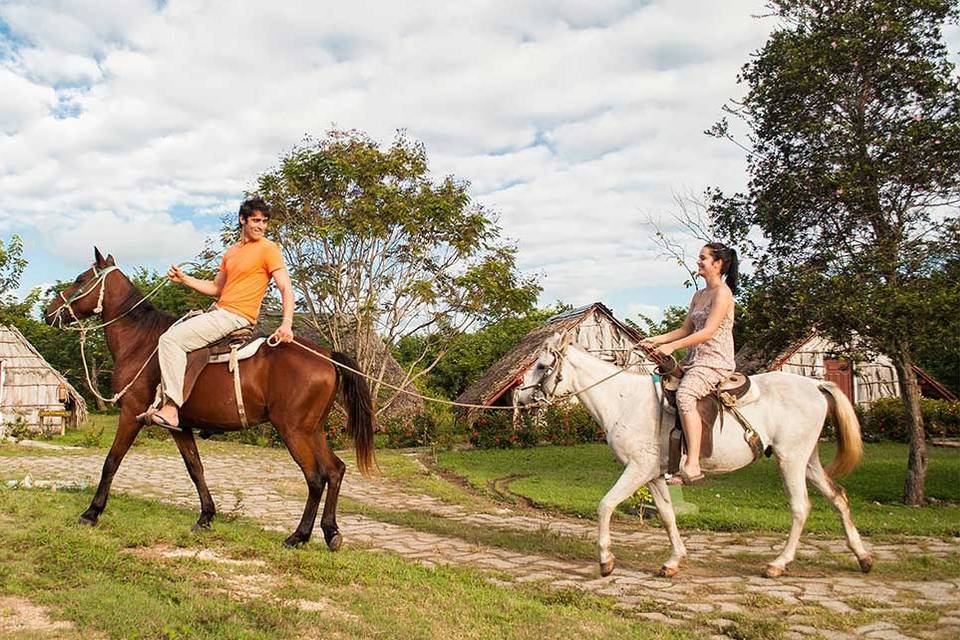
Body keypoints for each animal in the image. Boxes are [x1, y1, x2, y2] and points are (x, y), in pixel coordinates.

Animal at [46, 249, 376, 552]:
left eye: (80, 279)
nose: (49, 313)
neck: (141, 342)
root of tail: (327, 355)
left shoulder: (131, 412)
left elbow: (111, 461)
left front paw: (92, 512)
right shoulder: (180, 426)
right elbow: (195, 468)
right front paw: (206, 516)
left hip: (293, 430)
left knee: (316, 477)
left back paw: (299, 535)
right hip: (313, 430)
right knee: (335, 470)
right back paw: (330, 532)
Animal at [512, 336, 872, 580]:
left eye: (542, 366)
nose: (518, 396)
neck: (623, 400)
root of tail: (816, 386)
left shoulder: (636, 469)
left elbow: (605, 506)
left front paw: (605, 561)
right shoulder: (653, 475)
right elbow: (667, 515)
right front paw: (674, 561)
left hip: (790, 460)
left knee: (801, 507)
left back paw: (777, 564)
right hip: (807, 459)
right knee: (838, 497)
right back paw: (863, 557)